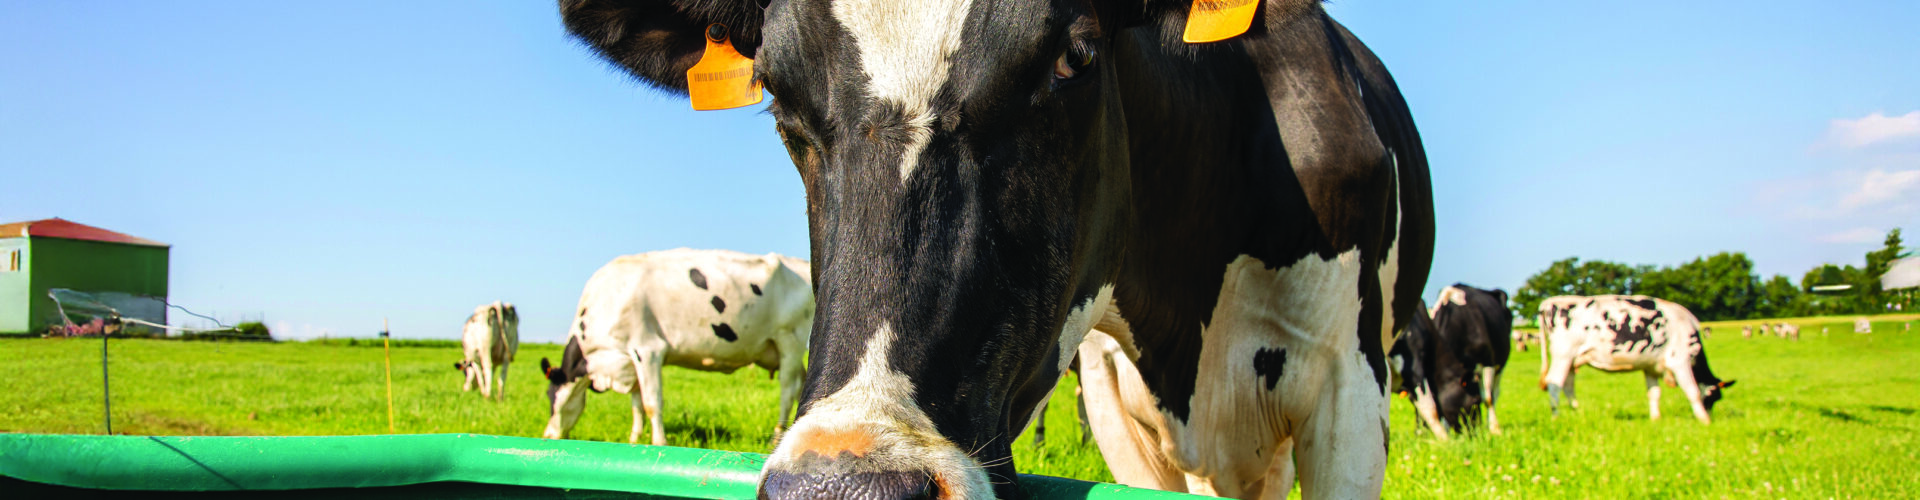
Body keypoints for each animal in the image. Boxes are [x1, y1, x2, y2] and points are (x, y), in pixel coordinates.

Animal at [540, 249, 814, 446]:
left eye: (551, 397)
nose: (548, 436)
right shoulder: (630, 360)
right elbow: (636, 403)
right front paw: (634, 439)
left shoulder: (647, 349)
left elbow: (651, 403)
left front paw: (659, 443)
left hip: (789, 339)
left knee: (787, 389)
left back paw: (776, 438)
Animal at [1537, 295, 1734, 424]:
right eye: (1715, 397)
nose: (1710, 415)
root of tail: (1549, 303)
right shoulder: (1679, 360)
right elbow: (1693, 390)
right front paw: (1704, 420)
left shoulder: (1650, 367)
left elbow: (1654, 393)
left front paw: (1655, 419)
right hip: (1563, 354)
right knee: (1554, 383)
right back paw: (1556, 416)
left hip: (1572, 359)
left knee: (1568, 385)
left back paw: (1576, 411)